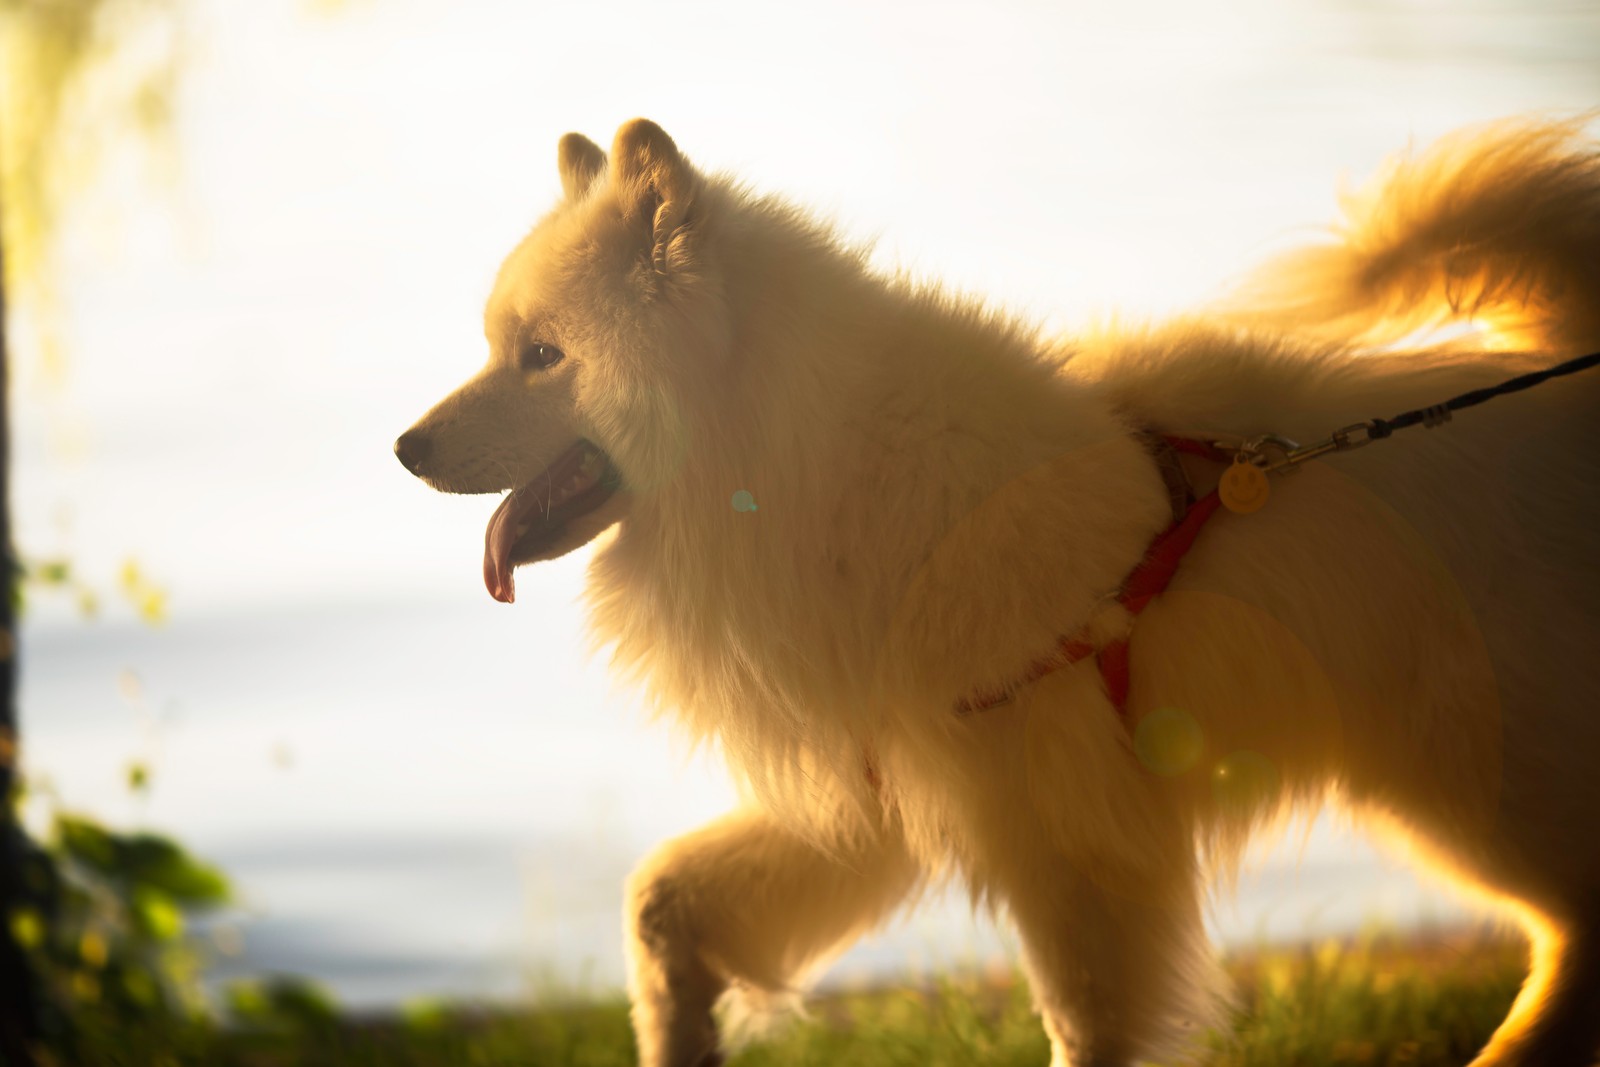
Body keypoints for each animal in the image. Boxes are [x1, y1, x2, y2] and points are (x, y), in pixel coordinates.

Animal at [396, 119, 1600, 1067]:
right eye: (501, 347)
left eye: (542, 354)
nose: (404, 448)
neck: (815, 468)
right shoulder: (882, 786)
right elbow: (663, 899)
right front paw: (681, 1034)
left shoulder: (1059, 833)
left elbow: (1084, 1025)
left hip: (1476, 775)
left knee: (1576, 925)